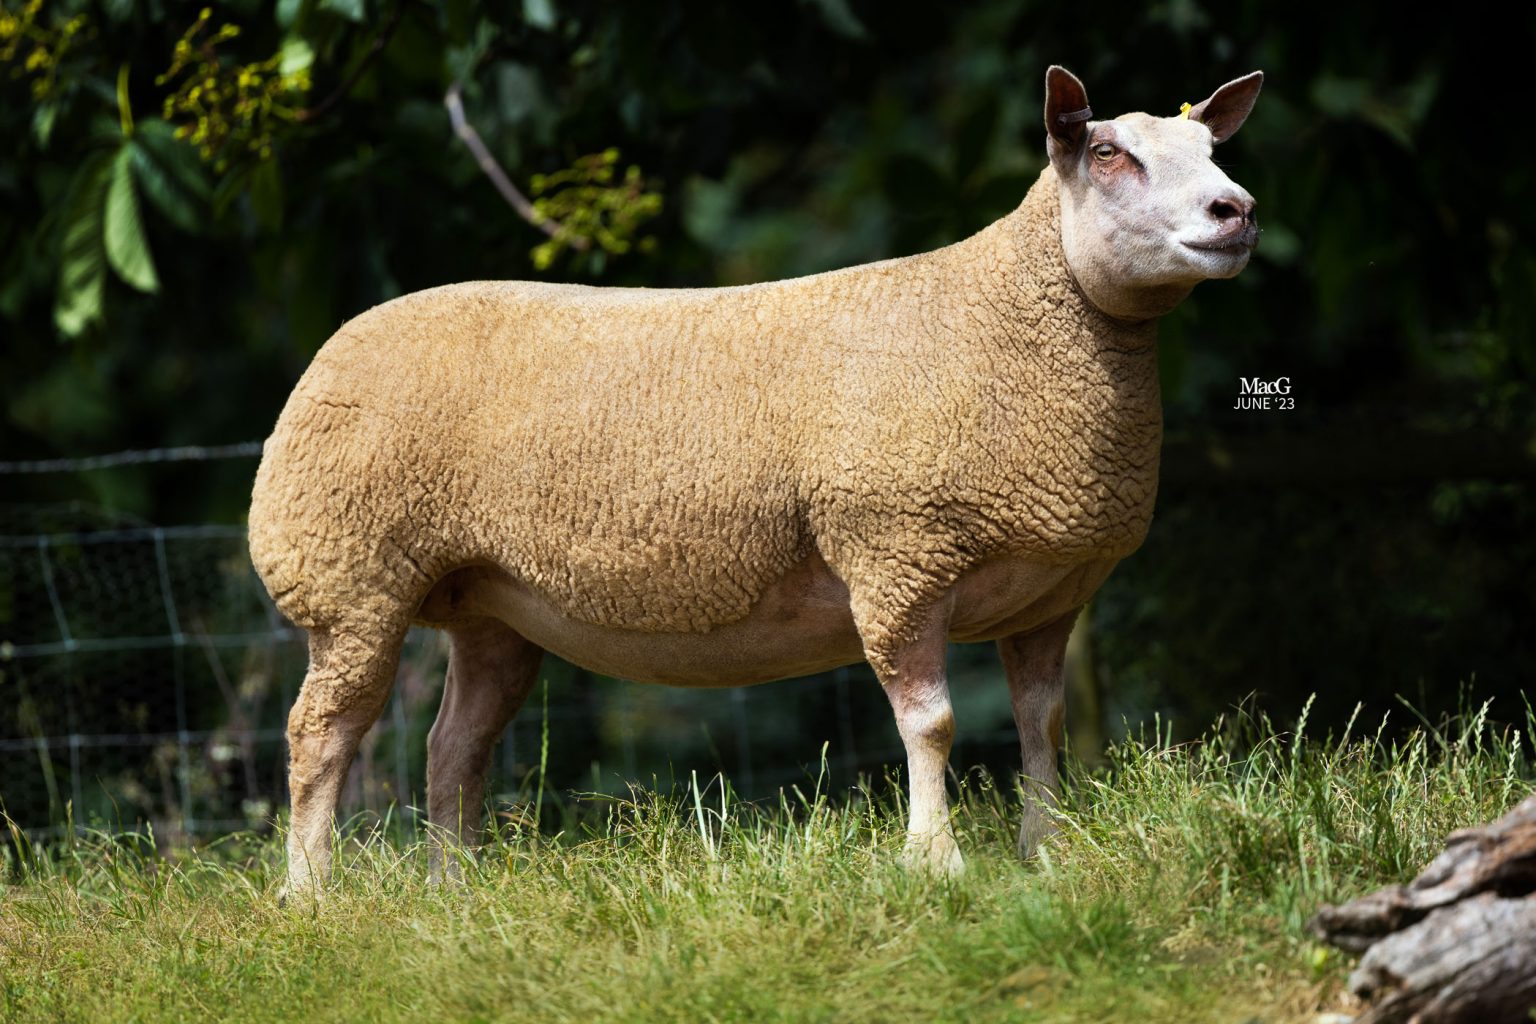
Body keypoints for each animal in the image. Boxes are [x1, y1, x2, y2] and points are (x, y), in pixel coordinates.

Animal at [248, 65, 1264, 894]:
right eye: (1107, 153)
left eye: (1214, 150)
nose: (1237, 210)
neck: (1003, 320)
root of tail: (327, 352)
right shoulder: (897, 557)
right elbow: (930, 724)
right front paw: (935, 862)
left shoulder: (1048, 595)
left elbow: (1041, 727)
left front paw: (1045, 853)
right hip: (350, 579)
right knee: (319, 737)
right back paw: (312, 896)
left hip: (491, 605)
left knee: (451, 747)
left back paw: (453, 893)